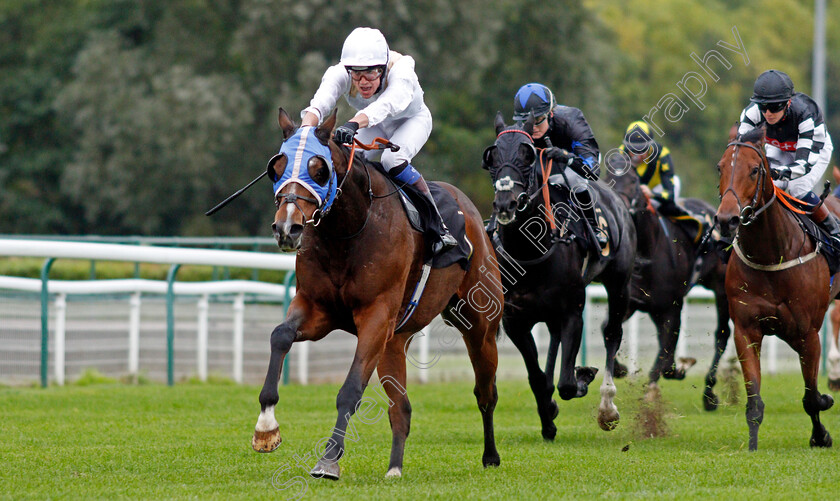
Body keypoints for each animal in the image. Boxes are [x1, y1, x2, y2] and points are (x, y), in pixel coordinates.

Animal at [253, 108, 502, 476]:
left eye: (319, 169)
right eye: (278, 166)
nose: (287, 228)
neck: (349, 230)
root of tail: (470, 212)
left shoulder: (376, 315)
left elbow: (351, 389)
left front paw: (328, 459)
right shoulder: (318, 308)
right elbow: (279, 335)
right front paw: (266, 428)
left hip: (480, 325)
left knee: (486, 392)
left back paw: (490, 456)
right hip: (395, 342)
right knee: (402, 408)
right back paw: (394, 467)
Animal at [482, 113, 632, 438]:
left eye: (528, 155)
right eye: (492, 156)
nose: (505, 204)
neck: (530, 250)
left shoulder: (572, 313)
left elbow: (567, 384)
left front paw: (582, 376)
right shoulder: (515, 320)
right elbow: (538, 377)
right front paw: (548, 417)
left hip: (619, 283)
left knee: (612, 334)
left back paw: (608, 406)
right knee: (552, 341)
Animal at [608, 154, 732, 408]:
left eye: (633, 180)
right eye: (605, 176)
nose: (618, 207)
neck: (648, 250)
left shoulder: (671, 307)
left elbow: (665, 356)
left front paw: (663, 381)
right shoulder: (633, 303)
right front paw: (621, 369)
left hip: (720, 289)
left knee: (722, 335)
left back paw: (709, 393)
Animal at [716, 125, 840, 450]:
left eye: (754, 169)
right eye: (720, 167)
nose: (726, 219)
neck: (772, 254)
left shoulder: (808, 334)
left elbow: (811, 398)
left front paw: (820, 435)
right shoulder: (746, 329)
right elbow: (754, 400)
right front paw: (752, 445)